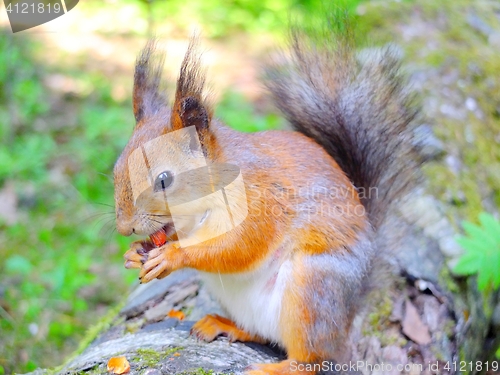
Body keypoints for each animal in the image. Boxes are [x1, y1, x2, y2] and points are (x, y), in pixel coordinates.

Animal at [113, 16, 422, 375]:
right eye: (117, 168)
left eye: (164, 180)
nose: (125, 228)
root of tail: (350, 312)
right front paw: (136, 252)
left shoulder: (263, 200)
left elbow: (239, 246)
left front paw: (173, 256)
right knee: (263, 335)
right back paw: (225, 325)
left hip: (312, 290)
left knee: (315, 359)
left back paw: (277, 367)